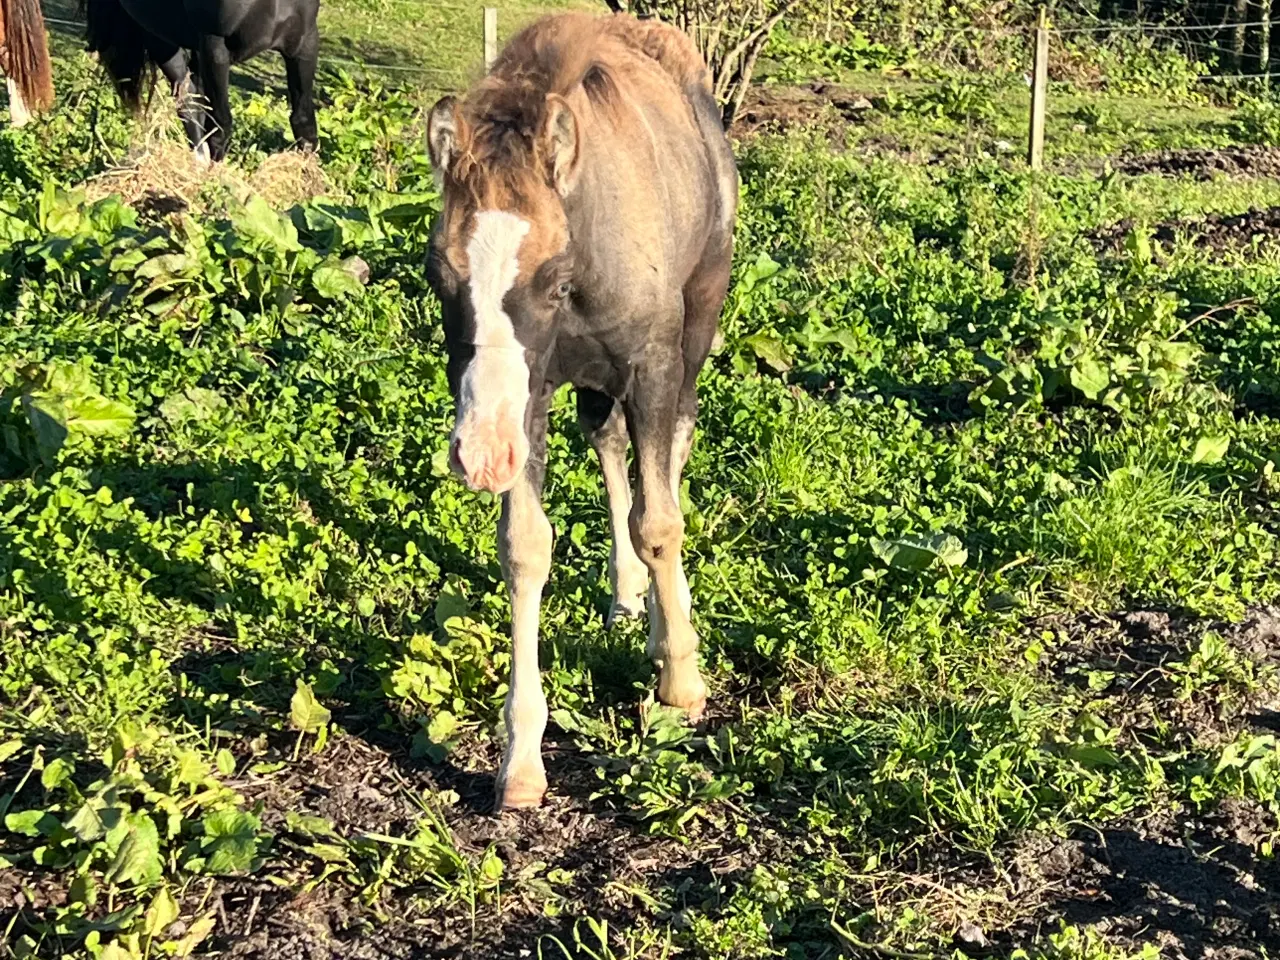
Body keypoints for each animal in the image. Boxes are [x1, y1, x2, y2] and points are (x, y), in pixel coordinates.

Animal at [83, 0, 320, 162]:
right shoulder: (215, 47)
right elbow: (220, 127)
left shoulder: (304, 44)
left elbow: (304, 123)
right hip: (161, 39)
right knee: (188, 103)